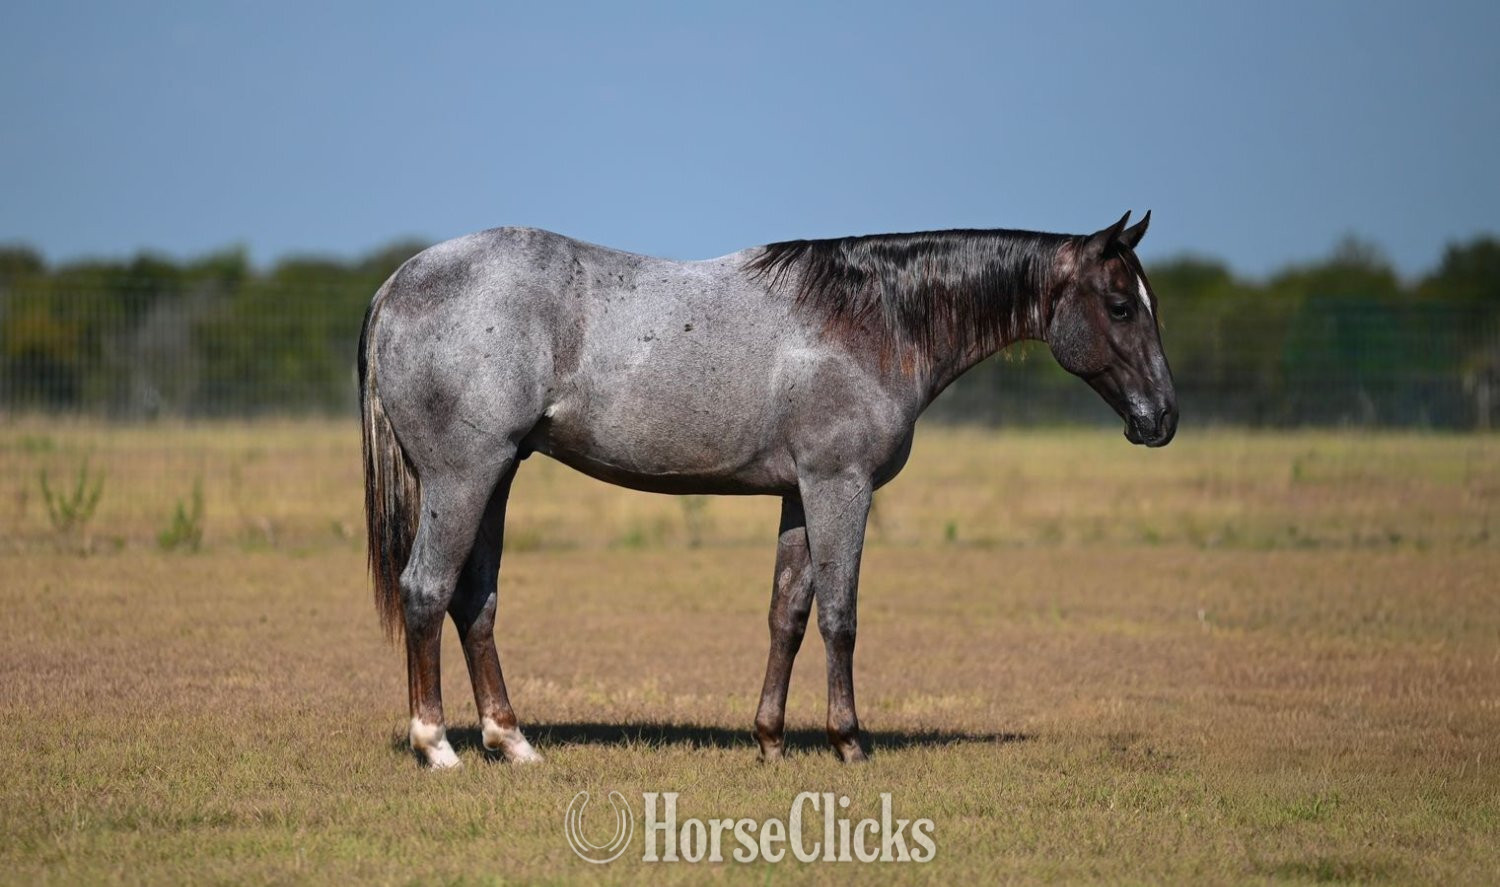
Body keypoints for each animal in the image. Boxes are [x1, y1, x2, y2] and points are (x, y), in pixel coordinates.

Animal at [359, 211, 1176, 768]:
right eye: (1121, 305)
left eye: (1150, 304)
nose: (1162, 418)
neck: (872, 320)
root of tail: (399, 282)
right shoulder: (841, 487)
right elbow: (840, 616)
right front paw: (849, 741)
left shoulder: (799, 495)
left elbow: (788, 613)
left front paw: (771, 739)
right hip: (463, 476)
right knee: (427, 589)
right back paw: (437, 745)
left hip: (495, 477)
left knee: (475, 602)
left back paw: (512, 740)